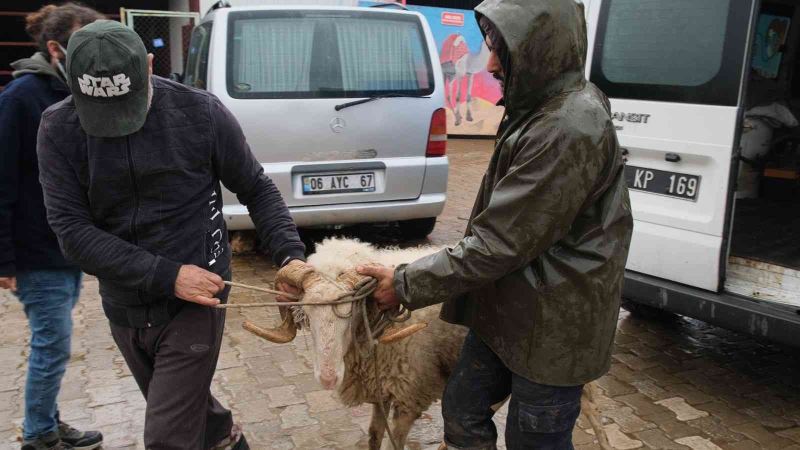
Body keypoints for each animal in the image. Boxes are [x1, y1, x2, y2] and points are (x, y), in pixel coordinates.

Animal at [247, 237, 608, 448]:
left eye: (350, 313)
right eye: (306, 313)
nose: (326, 377)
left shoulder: (412, 393)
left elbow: (394, 442)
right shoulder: (382, 387)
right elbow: (374, 435)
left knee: (594, 416)